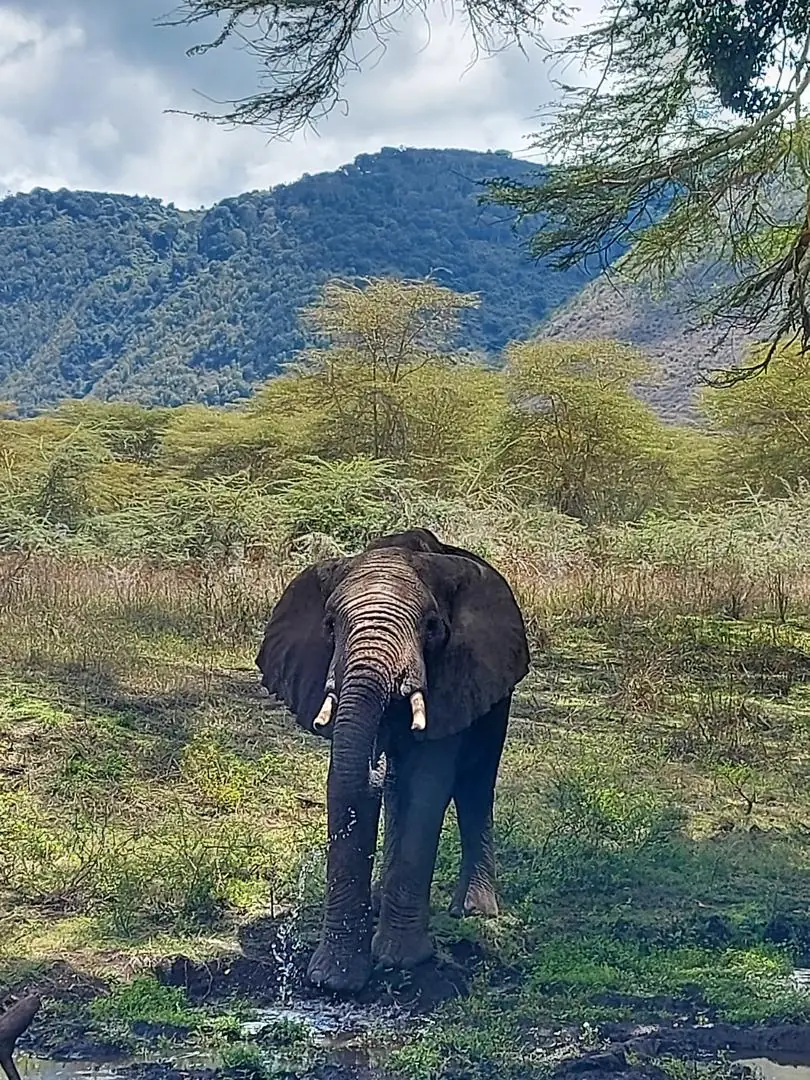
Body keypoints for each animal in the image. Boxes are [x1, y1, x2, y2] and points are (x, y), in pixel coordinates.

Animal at [256, 527, 530, 994]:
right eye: (330, 626)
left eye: (432, 627)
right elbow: (350, 779)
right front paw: (335, 979)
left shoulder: (455, 675)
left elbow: (425, 783)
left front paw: (401, 960)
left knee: (475, 783)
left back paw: (473, 911)